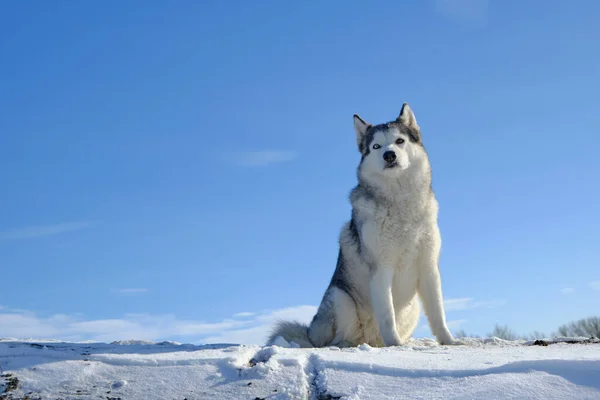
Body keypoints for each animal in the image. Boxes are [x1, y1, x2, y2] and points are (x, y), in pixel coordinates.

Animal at [268, 103, 460, 346]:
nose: (389, 155)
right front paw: (395, 345)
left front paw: (449, 341)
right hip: (340, 297)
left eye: (399, 141)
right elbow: (387, 315)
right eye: (376, 146)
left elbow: (438, 313)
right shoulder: (381, 269)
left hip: (412, 306)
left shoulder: (429, 267)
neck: (400, 206)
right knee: (338, 339)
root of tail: (311, 334)